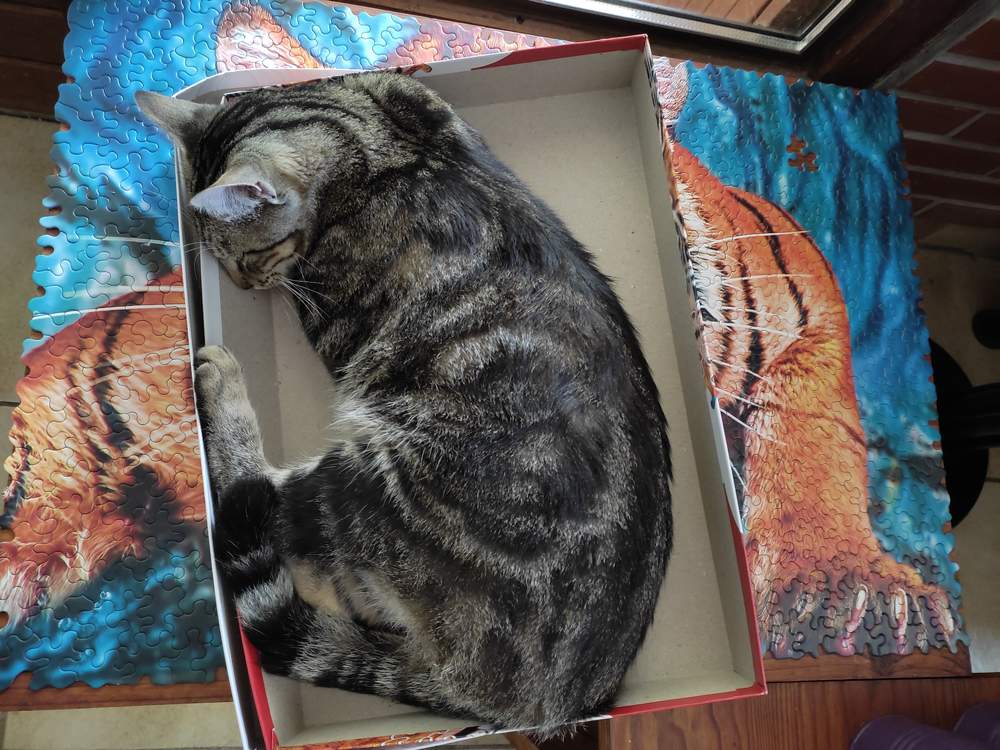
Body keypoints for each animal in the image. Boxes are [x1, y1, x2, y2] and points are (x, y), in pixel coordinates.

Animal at [135, 71, 672, 732]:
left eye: (247, 256)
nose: (239, 282)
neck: (375, 140)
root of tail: (541, 703)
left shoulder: (329, 318)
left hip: (369, 481)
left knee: (268, 511)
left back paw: (223, 385)